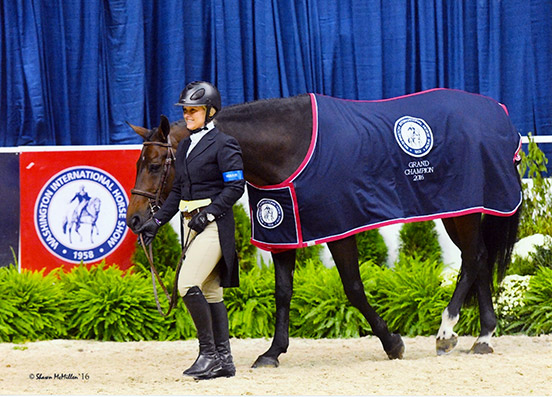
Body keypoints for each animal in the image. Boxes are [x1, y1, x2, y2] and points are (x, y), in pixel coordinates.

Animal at [125, 91, 520, 366]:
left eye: (156, 165)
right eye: (139, 162)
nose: (135, 220)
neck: (290, 145)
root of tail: (499, 114)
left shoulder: (338, 229)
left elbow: (354, 289)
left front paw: (393, 343)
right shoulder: (283, 230)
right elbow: (283, 293)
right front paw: (272, 353)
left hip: (464, 208)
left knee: (473, 258)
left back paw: (446, 332)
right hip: (459, 209)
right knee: (478, 258)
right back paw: (483, 336)